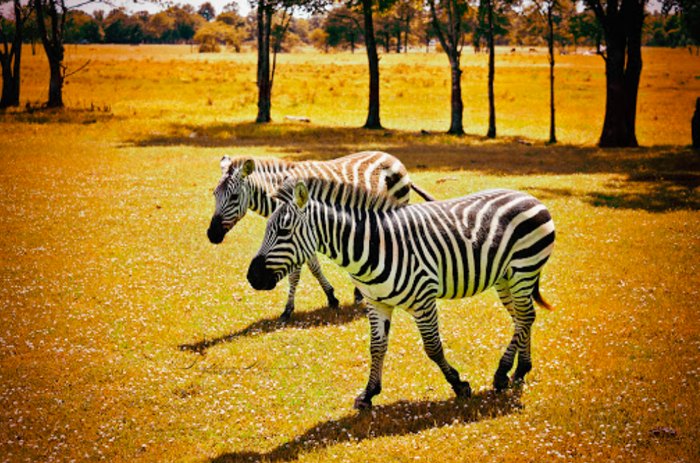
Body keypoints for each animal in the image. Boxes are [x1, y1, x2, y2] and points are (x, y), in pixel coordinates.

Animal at [205, 152, 434, 322]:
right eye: (215, 194)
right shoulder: (305, 233)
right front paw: (331, 297)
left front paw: (288, 309)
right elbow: (313, 266)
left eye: (234, 197)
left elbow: (295, 274)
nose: (212, 235)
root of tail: (392, 157)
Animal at [249, 179, 556, 408]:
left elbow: (433, 347)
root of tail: (528, 195)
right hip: (506, 278)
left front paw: (458, 384)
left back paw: (503, 373)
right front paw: (369, 394)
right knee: (523, 318)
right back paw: (519, 370)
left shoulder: (424, 300)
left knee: (524, 317)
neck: (374, 246)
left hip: (523, 271)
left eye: (284, 230)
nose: (252, 277)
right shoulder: (376, 303)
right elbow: (376, 347)